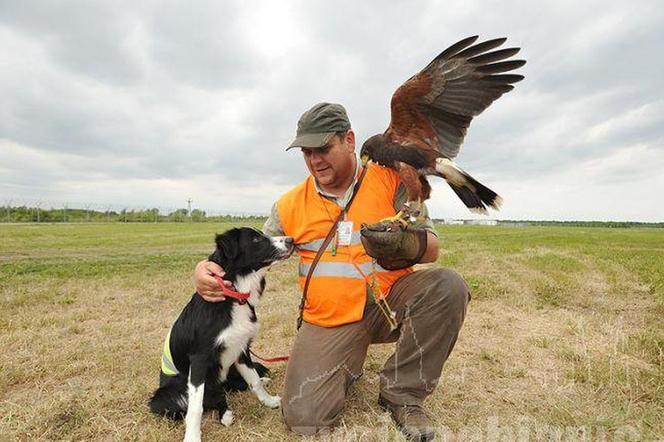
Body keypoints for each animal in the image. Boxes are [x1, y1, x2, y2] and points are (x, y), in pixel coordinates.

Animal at [152, 228, 294, 442]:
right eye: (256, 239)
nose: (291, 240)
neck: (234, 296)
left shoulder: (241, 349)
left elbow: (253, 381)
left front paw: (268, 401)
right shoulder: (200, 359)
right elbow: (196, 406)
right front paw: (192, 436)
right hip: (162, 397)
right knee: (209, 397)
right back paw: (224, 414)